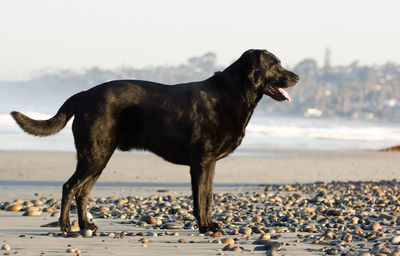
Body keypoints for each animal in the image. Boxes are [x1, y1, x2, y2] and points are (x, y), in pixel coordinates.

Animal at [10, 49, 298, 233]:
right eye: (274, 65)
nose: (297, 77)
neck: (233, 93)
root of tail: (83, 94)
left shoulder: (210, 164)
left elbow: (208, 197)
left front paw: (210, 224)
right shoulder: (202, 163)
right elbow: (201, 198)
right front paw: (205, 227)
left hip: (98, 157)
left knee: (82, 192)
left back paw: (86, 226)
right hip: (94, 155)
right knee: (69, 187)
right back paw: (66, 226)